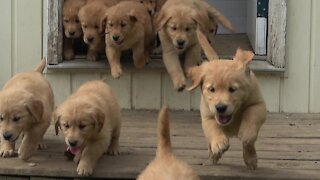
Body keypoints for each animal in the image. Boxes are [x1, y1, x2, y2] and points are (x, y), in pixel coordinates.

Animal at [189, 29, 266, 170]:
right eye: (211, 89)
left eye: (232, 89)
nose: (220, 108)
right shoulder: (207, 116)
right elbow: (213, 127)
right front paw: (219, 143)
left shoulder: (258, 104)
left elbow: (251, 116)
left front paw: (247, 133)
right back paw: (213, 155)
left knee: (249, 145)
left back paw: (251, 159)